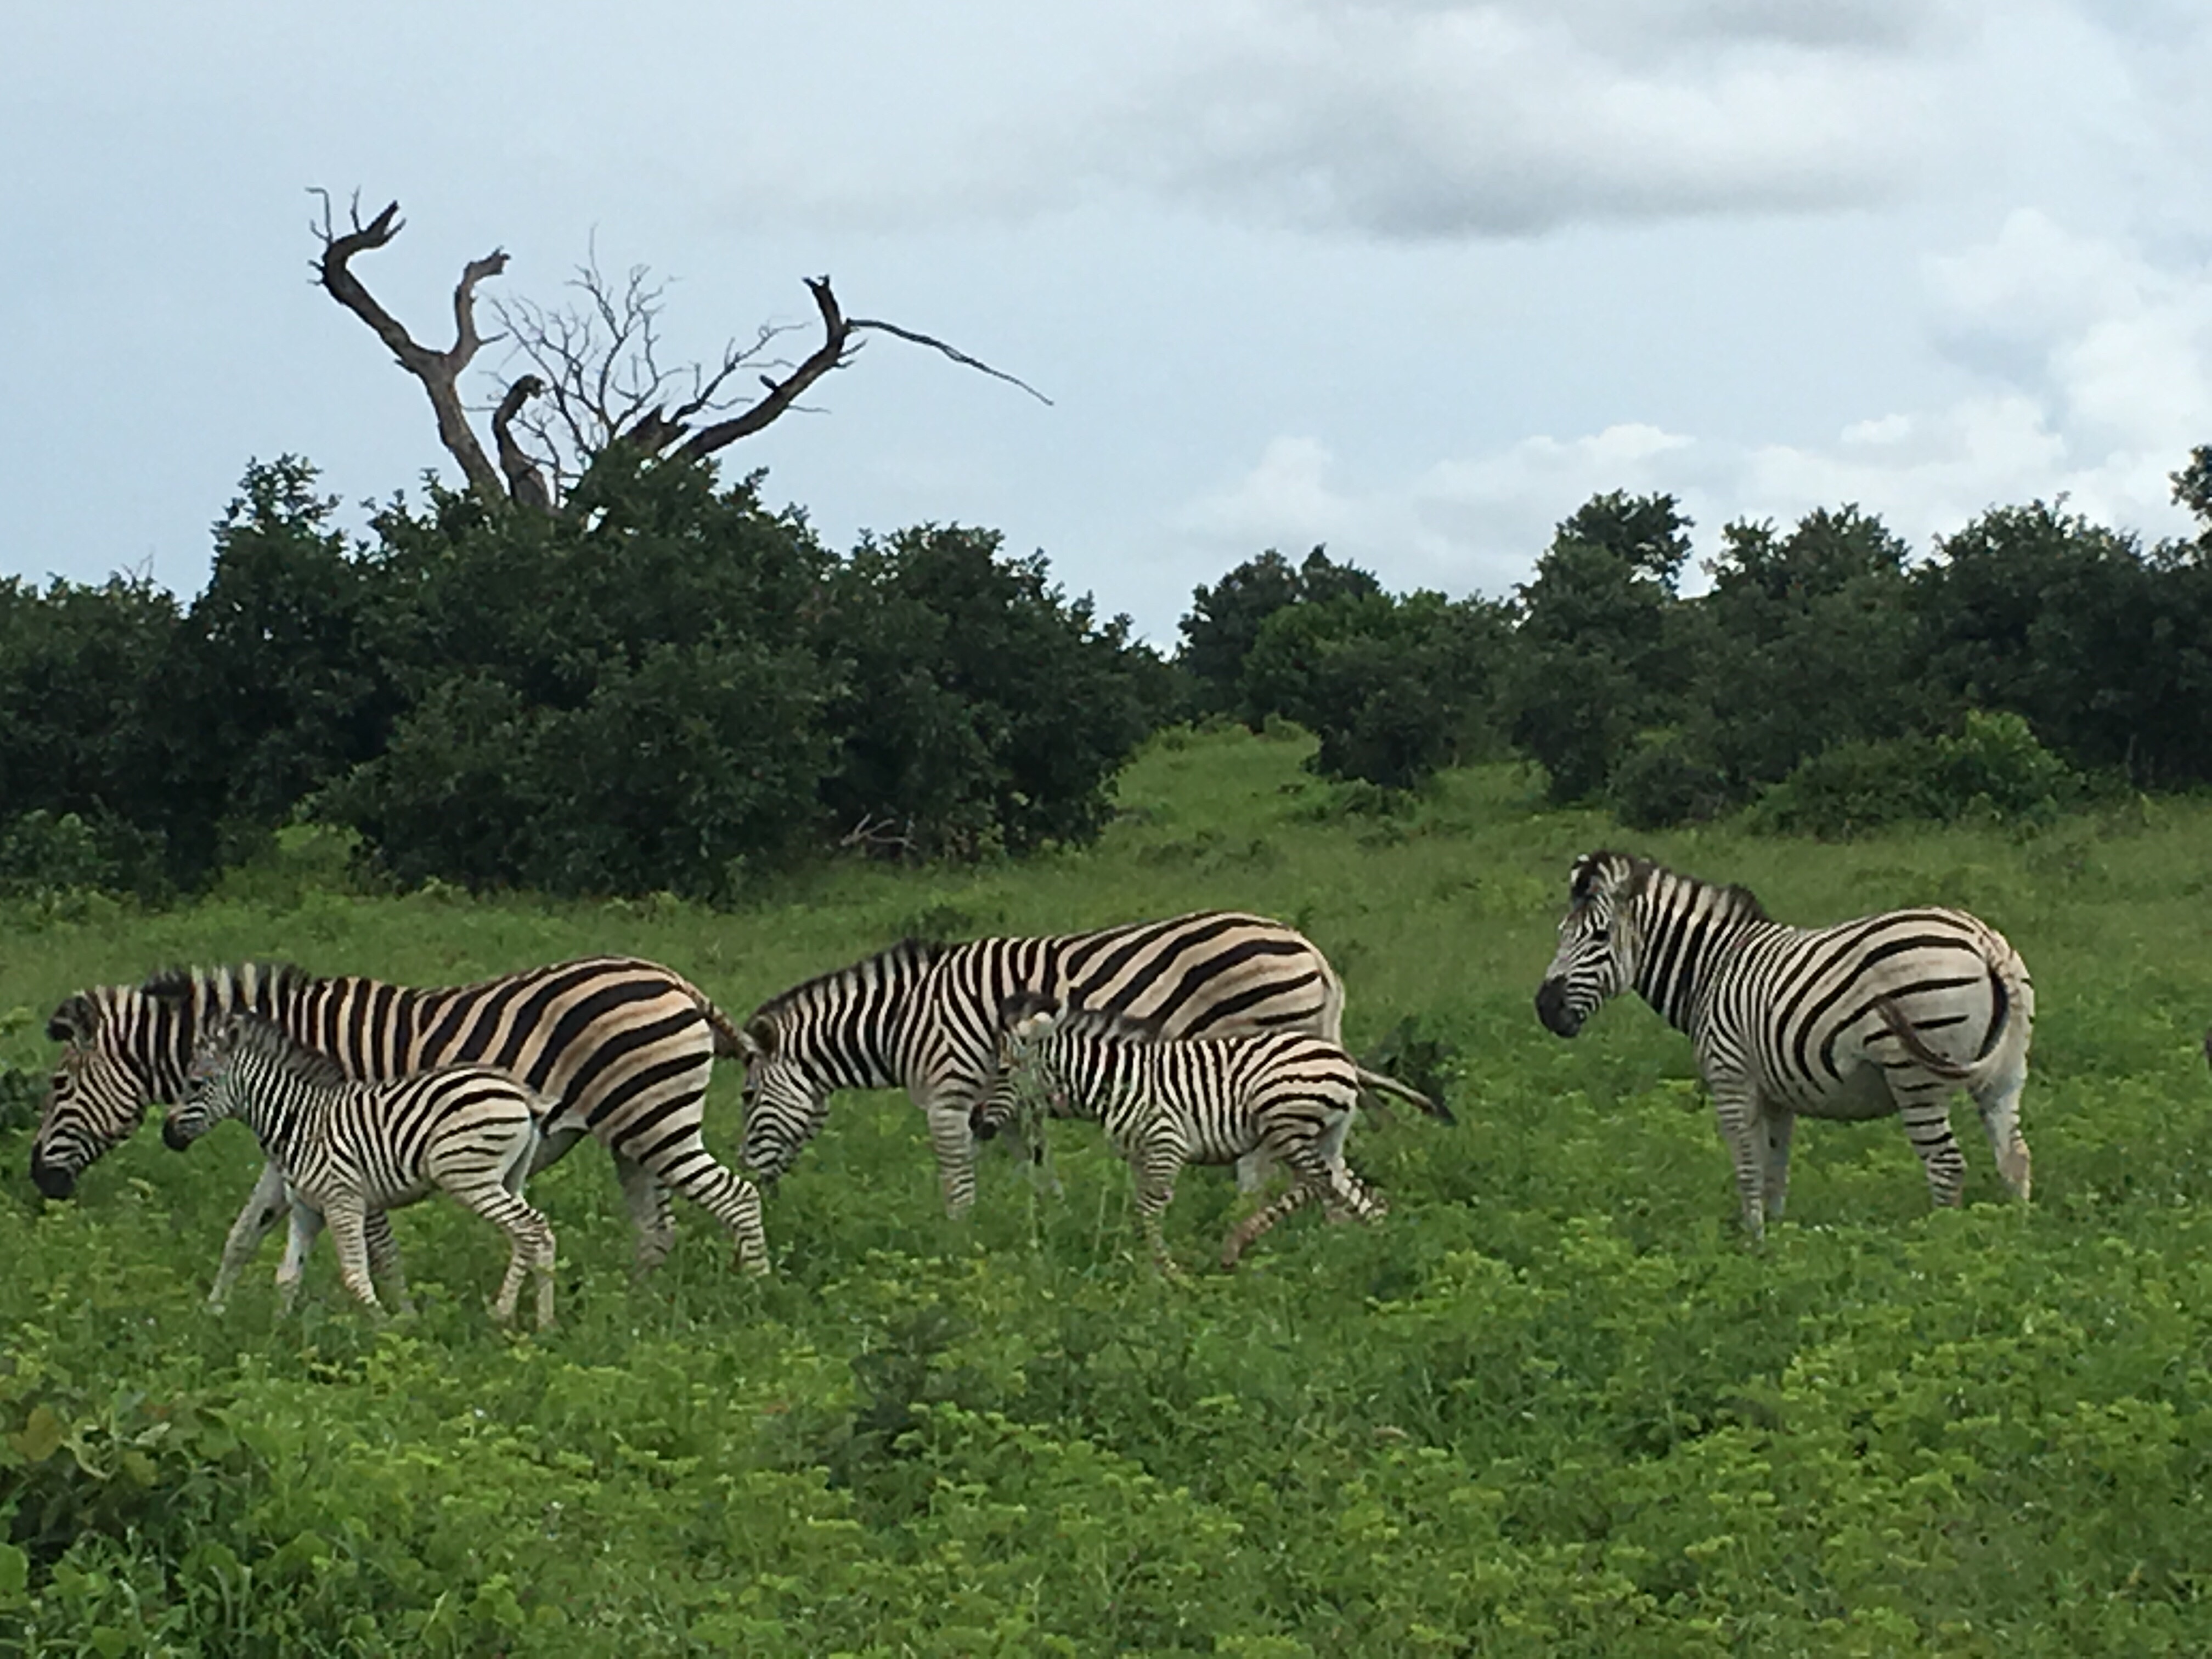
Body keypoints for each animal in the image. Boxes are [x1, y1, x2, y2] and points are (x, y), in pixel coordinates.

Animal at [32, 957, 767, 1294]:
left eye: (59, 1087)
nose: (40, 1180)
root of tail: (673, 979)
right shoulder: (288, 1153)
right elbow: (243, 1235)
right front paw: (214, 1318)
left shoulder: (353, 1146)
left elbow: (376, 1249)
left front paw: (396, 1321)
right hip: (633, 1135)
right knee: (657, 1230)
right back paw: (639, 1310)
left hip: (657, 1120)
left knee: (737, 1198)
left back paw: (752, 1291)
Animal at [166, 1014, 560, 1326]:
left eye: (195, 1084)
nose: (166, 1135)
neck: (301, 1122)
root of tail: (518, 1091)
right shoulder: (307, 1208)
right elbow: (288, 1276)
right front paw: (277, 1338)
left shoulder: (343, 1201)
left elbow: (356, 1275)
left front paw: (385, 1327)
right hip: (508, 1178)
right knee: (533, 1233)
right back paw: (544, 1324)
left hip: (469, 1177)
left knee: (528, 1228)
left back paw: (504, 1314)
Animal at [734, 911, 1385, 1215]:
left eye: (744, 1098)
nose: (750, 1175)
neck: (905, 1019)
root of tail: (1310, 950)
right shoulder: (1000, 1100)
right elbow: (1032, 1164)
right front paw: (1047, 1226)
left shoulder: (950, 1093)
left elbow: (955, 1174)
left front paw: (955, 1237)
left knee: (1261, 1168)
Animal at [971, 992, 1445, 1272]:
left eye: (1002, 1070)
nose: (975, 1123)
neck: (1115, 1081)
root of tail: (1341, 1057)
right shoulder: (1140, 1154)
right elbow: (1141, 1211)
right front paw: (1142, 1263)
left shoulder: (1166, 1143)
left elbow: (1150, 1209)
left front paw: (1166, 1274)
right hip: (1326, 1132)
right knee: (1344, 1186)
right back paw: (1383, 1244)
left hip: (1283, 1121)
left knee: (1318, 1181)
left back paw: (1238, 1245)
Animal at [1535, 850, 2034, 1237]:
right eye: (1561, 933)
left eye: (1600, 936)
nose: (1545, 1008)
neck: (1712, 969)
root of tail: (1983, 941)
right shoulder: (1777, 1095)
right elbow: (1775, 1172)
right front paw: (1777, 1242)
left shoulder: (1731, 1078)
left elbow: (1747, 1168)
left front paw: (1752, 1244)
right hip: (2006, 1072)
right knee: (2014, 1158)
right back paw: (2015, 1243)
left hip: (1915, 1078)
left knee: (1947, 1166)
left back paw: (1940, 1247)